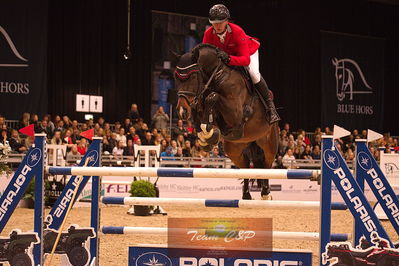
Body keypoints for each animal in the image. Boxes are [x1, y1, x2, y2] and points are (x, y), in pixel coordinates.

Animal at [173, 43, 280, 200]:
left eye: (192, 76)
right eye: (176, 77)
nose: (182, 111)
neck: (216, 76)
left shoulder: (234, 114)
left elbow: (213, 97)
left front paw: (210, 132)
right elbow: (201, 113)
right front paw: (206, 137)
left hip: (268, 143)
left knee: (266, 165)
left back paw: (266, 193)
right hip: (234, 149)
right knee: (246, 167)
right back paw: (246, 195)